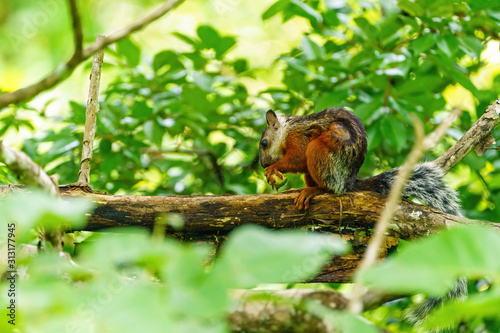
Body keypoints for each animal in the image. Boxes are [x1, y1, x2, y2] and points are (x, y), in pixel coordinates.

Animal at [260, 108, 466, 324]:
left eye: (264, 143)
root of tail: (348, 183)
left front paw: (274, 168)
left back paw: (314, 191)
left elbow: (298, 158)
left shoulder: (299, 138)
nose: (263, 164)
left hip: (320, 150)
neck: (286, 130)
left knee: (327, 185)